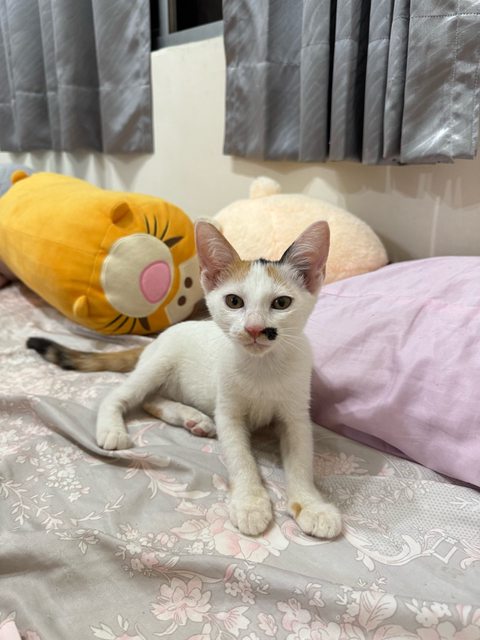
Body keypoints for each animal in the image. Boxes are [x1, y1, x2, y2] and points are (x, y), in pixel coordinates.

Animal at [27, 220, 342, 539]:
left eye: (281, 303)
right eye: (234, 301)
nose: (254, 329)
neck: (262, 366)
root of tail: (155, 340)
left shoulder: (296, 414)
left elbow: (301, 459)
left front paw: (311, 505)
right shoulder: (228, 411)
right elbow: (240, 457)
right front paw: (250, 503)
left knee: (151, 400)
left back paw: (194, 419)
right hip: (159, 363)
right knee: (119, 395)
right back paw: (114, 429)